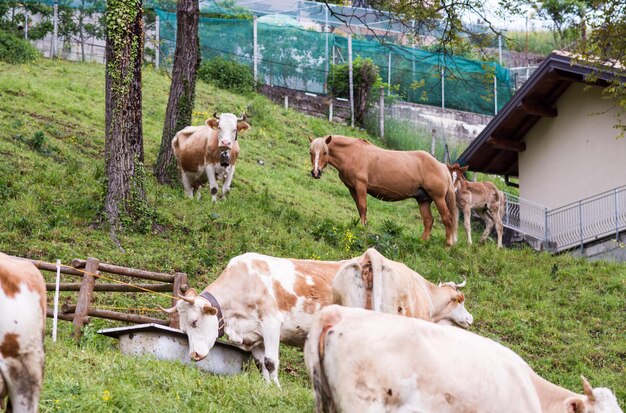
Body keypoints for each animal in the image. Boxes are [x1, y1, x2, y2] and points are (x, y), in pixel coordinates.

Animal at [158, 251, 344, 386]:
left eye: (194, 322)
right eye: (184, 329)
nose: (193, 355)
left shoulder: (271, 323)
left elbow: (271, 362)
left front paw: (277, 390)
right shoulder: (253, 336)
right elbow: (261, 364)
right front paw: (267, 389)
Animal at [310, 135, 456, 245]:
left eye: (325, 152)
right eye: (311, 152)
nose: (316, 172)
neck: (353, 153)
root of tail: (442, 166)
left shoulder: (361, 186)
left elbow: (363, 206)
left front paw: (362, 228)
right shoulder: (352, 188)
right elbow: (359, 208)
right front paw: (364, 225)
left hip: (438, 198)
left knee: (447, 219)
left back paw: (448, 244)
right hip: (423, 200)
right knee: (428, 221)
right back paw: (422, 241)